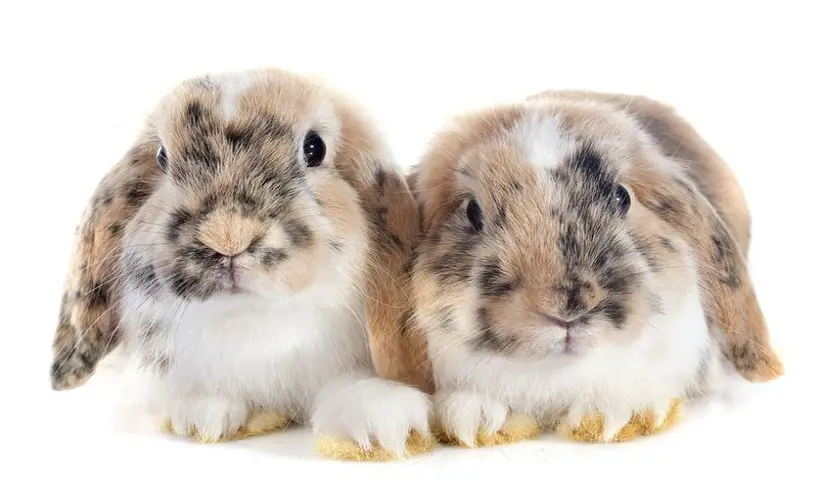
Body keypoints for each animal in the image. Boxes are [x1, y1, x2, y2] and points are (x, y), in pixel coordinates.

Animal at [46, 68, 436, 462]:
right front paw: (204, 413)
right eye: (161, 156)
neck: (253, 322)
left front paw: (380, 422)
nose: (228, 236)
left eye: (315, 148)